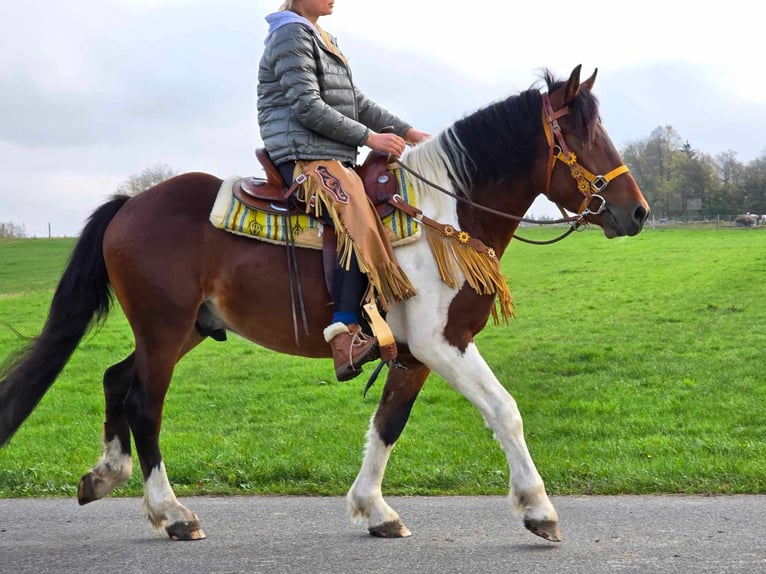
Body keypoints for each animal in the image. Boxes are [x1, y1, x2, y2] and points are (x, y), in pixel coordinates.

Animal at [0, 65, 648, 544]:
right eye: (581, 136)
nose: (636, 211)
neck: (446, 214)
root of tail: (130, 204)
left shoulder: (415, 351)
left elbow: (388, 423)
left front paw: (375, 510)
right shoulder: (442, 343)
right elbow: (505, 411)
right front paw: (538, 509)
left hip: (187, 328)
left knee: (116, 378)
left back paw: (105, 475)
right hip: (163, 329)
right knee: (143, 403)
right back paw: (173, 514)